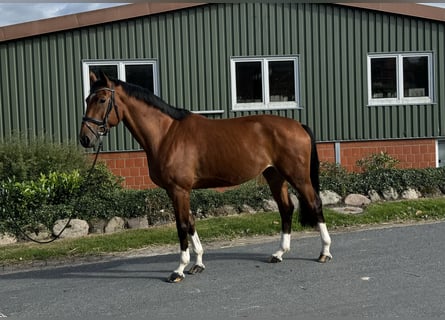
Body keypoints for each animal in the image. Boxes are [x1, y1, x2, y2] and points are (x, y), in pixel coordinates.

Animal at [80, 72, 332, 282]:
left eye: (101, 100)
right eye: (86, 99)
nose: (85, 138)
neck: (166, 134)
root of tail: (298, 124)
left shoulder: (179, 190)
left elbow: (182, 225)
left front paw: (179, 270)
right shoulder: (178, 191)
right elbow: (191, 222)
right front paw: (198, 264)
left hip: (297, 176)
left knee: (315, 203)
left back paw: (325, 252)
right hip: (274, 175)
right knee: (286, 208)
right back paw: (279, 253)